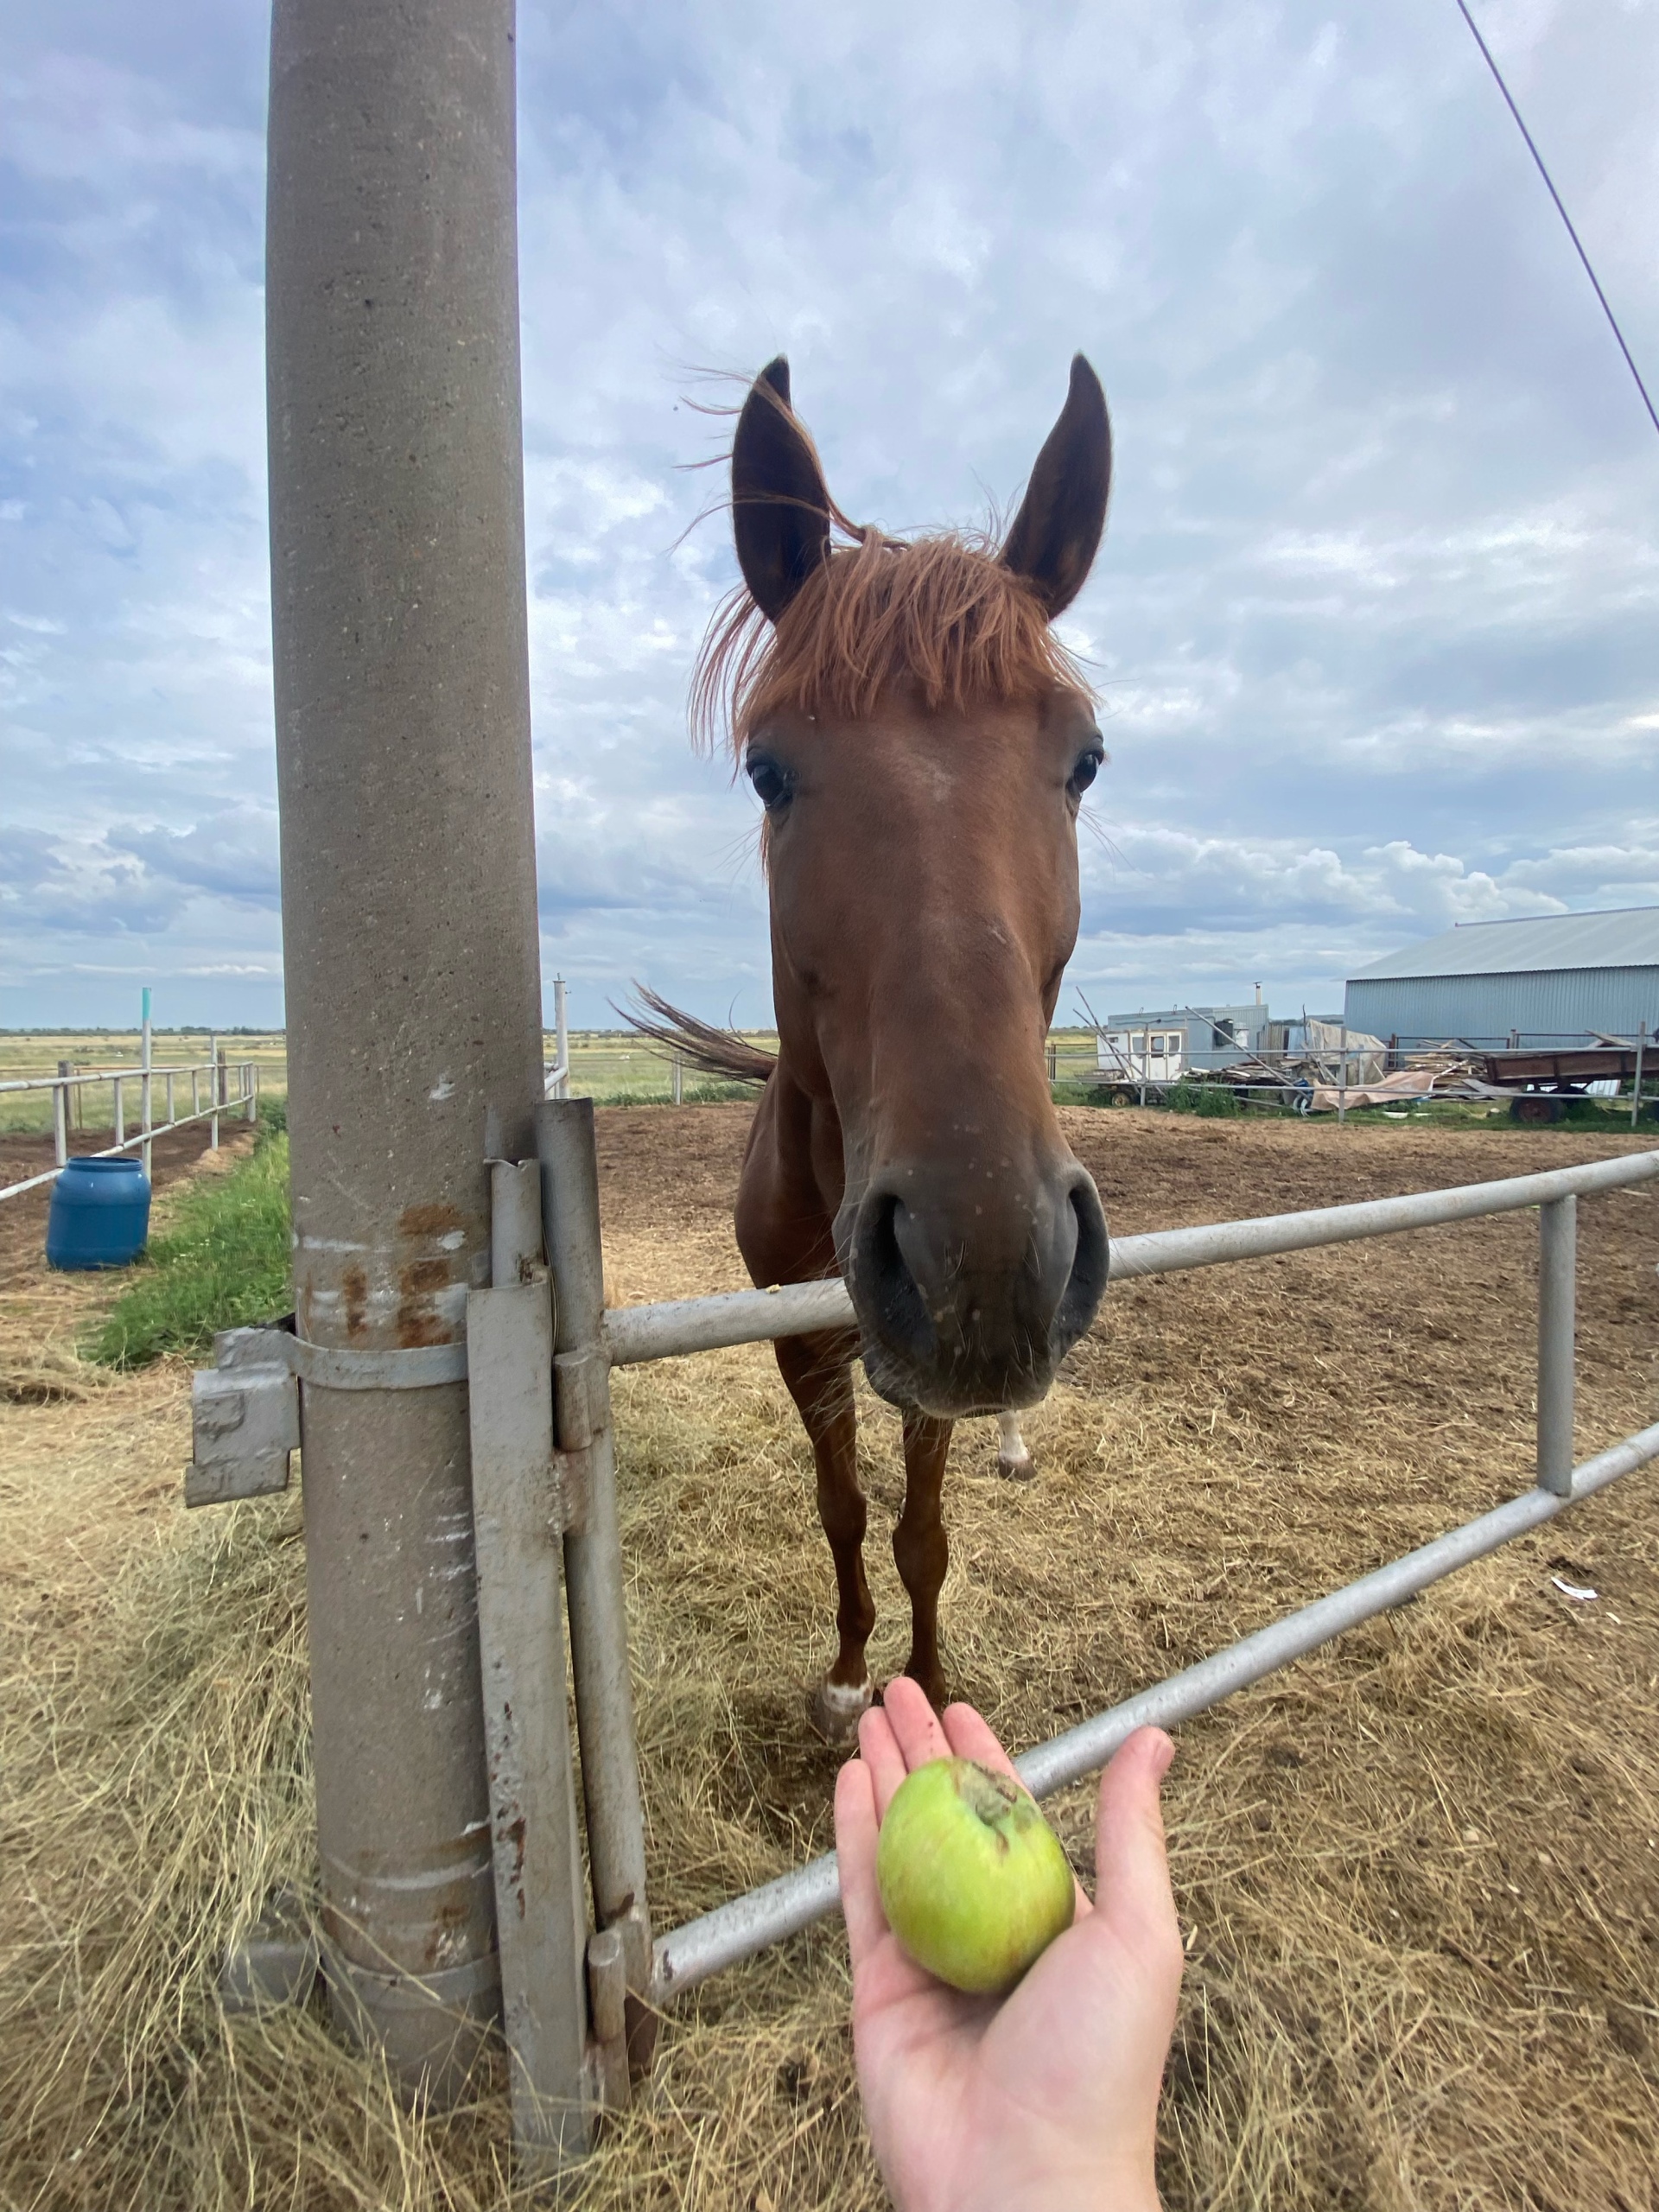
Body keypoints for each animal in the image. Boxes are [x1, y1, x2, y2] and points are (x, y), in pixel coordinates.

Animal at [654, 358, 1110, 1743]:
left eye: (1084, 760)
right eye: (768, 771)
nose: (987, 1257)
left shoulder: (924, 1360)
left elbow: (923, 1534)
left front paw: (933, 1686)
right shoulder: (808, 1341)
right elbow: (845, 1511)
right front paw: (854, 1675)